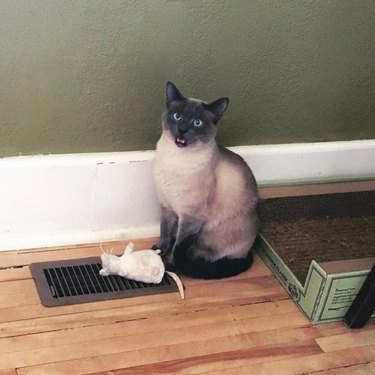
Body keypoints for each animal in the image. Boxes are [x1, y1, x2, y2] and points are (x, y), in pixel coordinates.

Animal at [153, 83, 258, 280]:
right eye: (177, 116)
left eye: (197, 123)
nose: (182, 129)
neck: (175, 158)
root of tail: (248, 251)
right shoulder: (166, 206)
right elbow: (165, 231)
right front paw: (159, 250)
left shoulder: (190, 217)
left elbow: (178, 244)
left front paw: (170, 264)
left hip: (207, 235)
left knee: (201, 253)